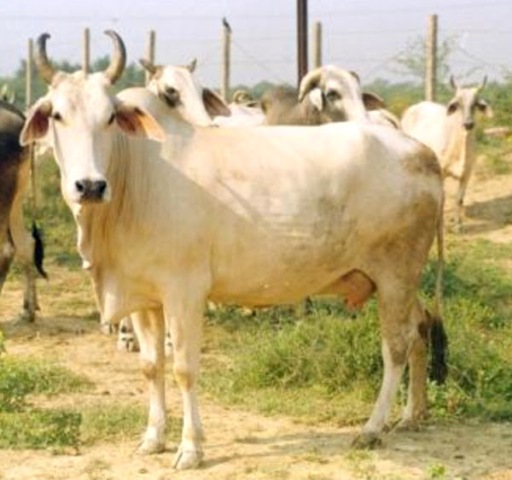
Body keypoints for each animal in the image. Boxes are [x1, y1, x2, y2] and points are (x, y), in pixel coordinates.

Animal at [400, 76, 492, 230]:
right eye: (458, 104)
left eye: (474, 104)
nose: (468, 124)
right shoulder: (441, 172)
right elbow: (442, 199)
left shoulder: (467, 173)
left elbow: (459, 199)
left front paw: (458, 225)